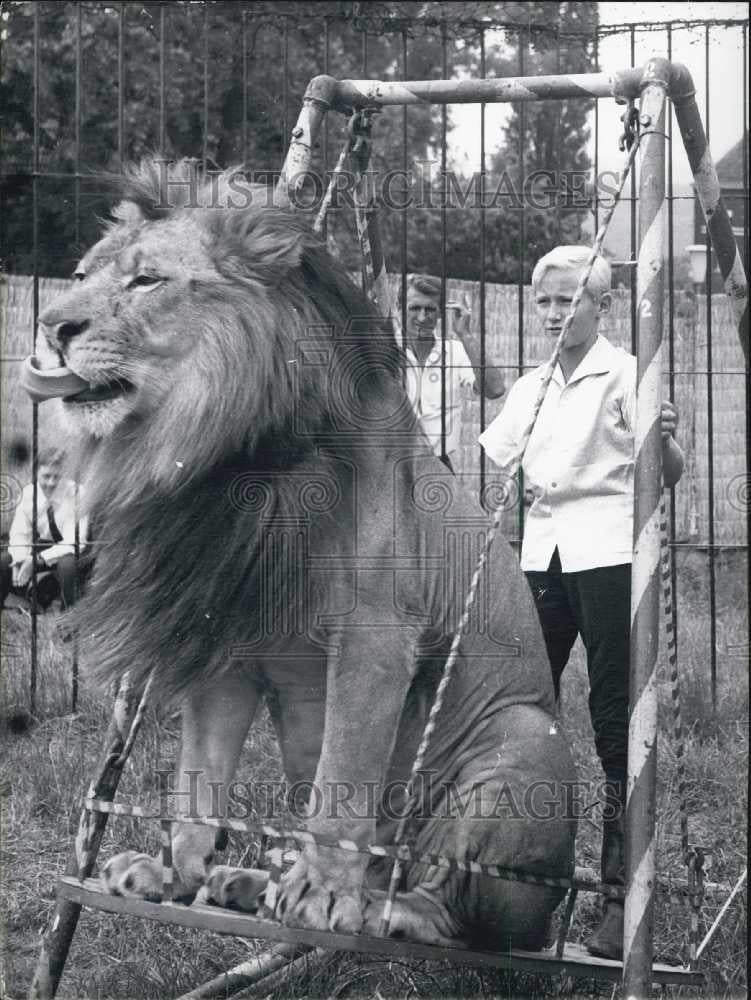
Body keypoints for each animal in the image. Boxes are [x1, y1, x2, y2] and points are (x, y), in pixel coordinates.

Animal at [30, 160, 576, 948]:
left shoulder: (375, 636)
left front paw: (320, 893)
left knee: (458, 911)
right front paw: (174, 874)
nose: (51, 326)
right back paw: (252, 883)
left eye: (147, 281)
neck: (228, 456)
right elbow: (197, 782)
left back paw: (378, 908)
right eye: (80, 274)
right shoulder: (220, 646)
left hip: (524, 741)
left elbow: (341, 785)